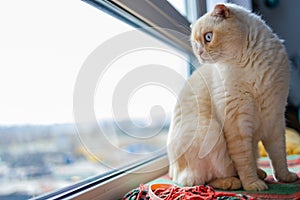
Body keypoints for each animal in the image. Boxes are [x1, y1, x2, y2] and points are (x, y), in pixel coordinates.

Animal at [166, 3, 298, 191]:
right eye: (195, 44)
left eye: (208, 37)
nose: (200, 53)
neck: (247, 62)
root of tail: (171, 170)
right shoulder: (237, 123)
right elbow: (244, 162)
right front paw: (252, 185)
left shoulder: (275, 118)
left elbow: (279, 156)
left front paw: (286, 178)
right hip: (211, 131)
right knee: (202, 180)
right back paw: (233, 182)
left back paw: (260, 173)